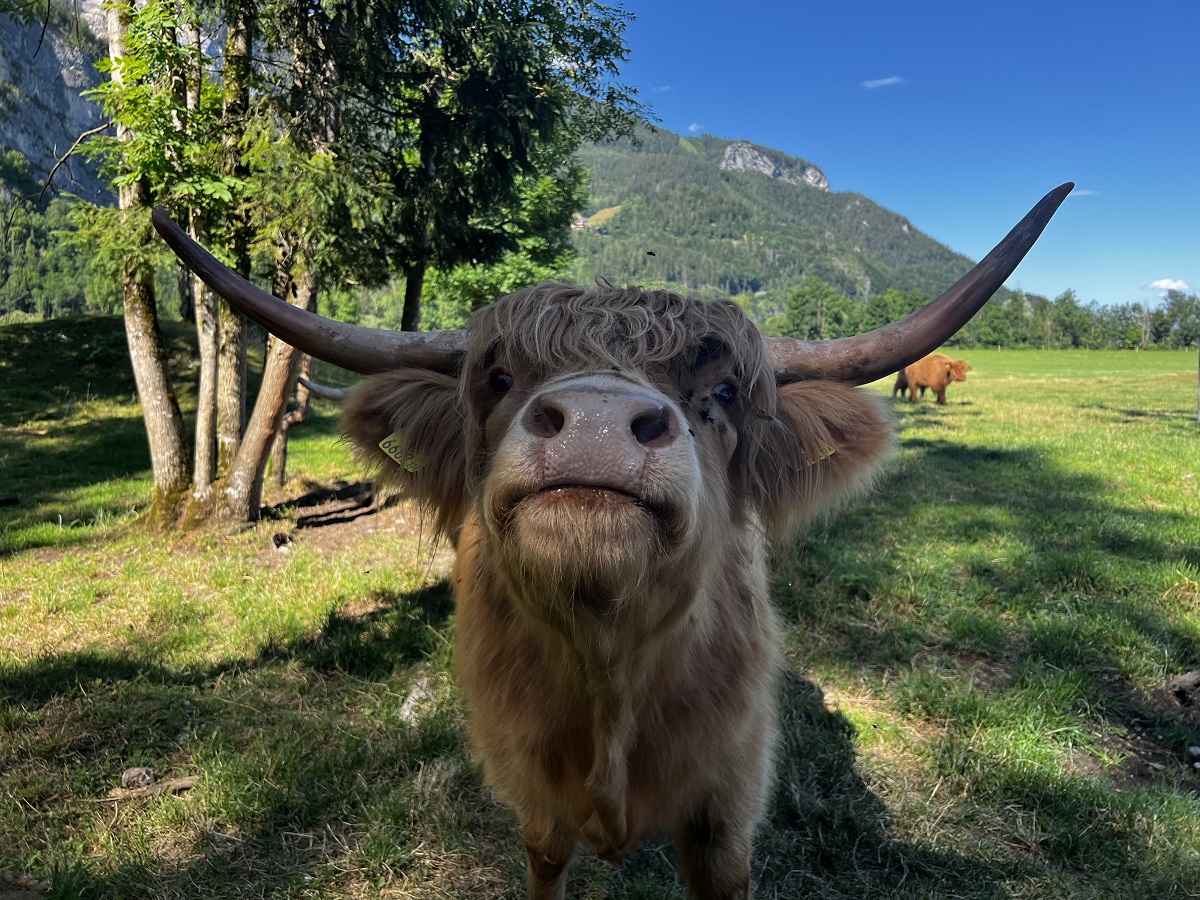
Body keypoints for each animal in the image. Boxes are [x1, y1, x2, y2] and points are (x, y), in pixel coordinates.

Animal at [152, 183, 1070, 900]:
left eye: (723, 391)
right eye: (497, 377)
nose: (596, 423)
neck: (608, 677)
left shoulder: (727, 810)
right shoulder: (532, 796)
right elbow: (543, 861)